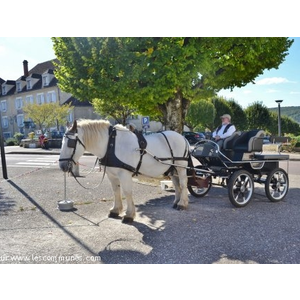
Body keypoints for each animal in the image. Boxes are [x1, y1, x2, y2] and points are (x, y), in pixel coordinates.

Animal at [58, 119, 190, 223]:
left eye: (71, 143)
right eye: (61, 142)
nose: (62, 166)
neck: (111, 145)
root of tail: (182, 137)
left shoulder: (124, 174)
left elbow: (127, 192)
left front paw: (129, 215)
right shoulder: (111, 175)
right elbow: (116, 191)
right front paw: (116, 210)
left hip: (181, 166)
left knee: (183, 183)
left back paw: (182, 204)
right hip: (172, 168)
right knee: (177, 185)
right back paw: (176, 202)